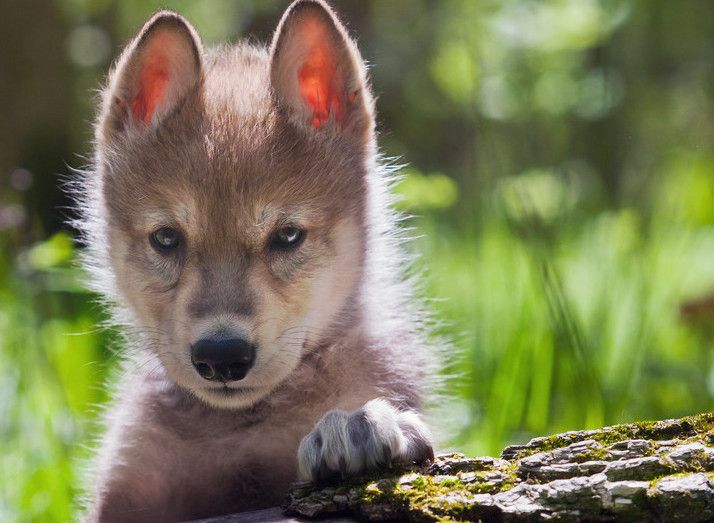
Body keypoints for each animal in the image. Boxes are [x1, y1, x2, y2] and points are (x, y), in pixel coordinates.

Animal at [75, 1, 437, 521]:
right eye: (166, 238)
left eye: (287, 236)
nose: (221, 357)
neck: (241, 433)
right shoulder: (124, 496)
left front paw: (358, 426)